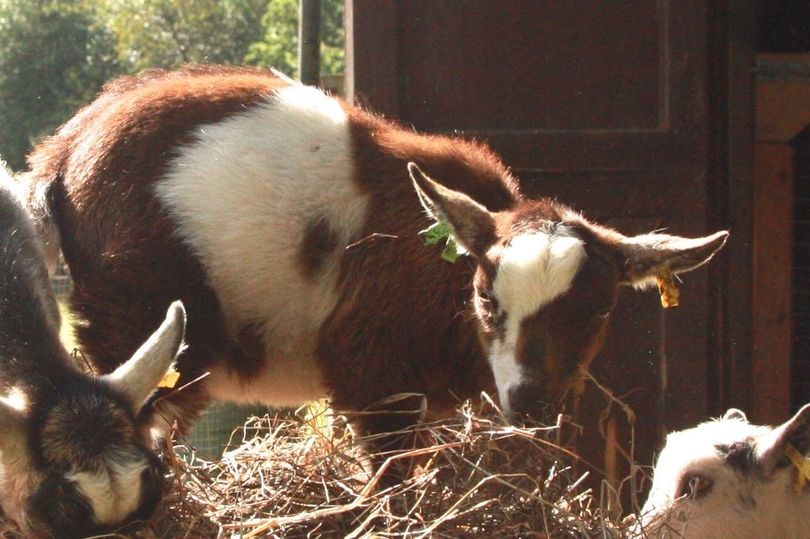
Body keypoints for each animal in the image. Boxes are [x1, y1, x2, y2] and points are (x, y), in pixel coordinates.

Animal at [20, 64, 724, 438]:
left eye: (601, 310)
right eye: (486, 300)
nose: (532, 402)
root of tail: (61, 155)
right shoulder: (372, 377)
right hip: (141, 325)